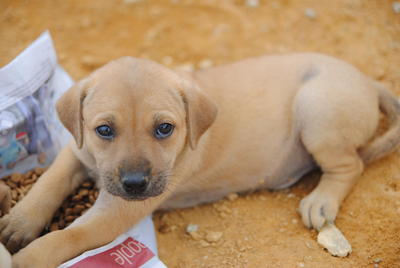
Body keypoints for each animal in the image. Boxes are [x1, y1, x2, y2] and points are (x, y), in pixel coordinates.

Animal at [0, 53, 400, 266]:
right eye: (104, 130)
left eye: (164, 128)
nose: (134, 184)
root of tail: (366, 81)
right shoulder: (76, 150)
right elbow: (47, 184)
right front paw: (18, 223)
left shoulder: (117, 210)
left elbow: (67, 236)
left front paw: (22, 259)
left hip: (317, 109)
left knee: (350, 166)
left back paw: (321, 202)